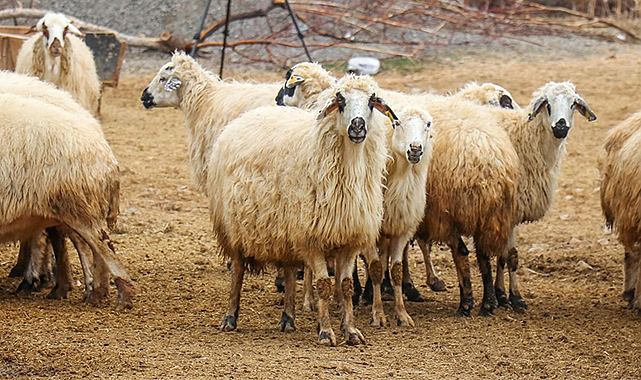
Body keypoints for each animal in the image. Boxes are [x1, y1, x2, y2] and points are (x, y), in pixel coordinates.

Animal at [0, 93, 132, 310]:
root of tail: (105, 153)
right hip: (62, 209)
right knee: (90, 245)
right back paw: (93, 292)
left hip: (75, 205)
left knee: (100, 244)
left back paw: (121, 295)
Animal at [208, 73, 392, 344]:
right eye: (340, 100)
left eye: (371, 100)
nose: (358, 126)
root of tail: (245, 117)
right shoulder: (312, 237)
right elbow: (324, 286)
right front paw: (326, 331)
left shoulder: (349, 237)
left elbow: (345, 286)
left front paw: (350, 331)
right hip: (235, 227)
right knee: (238, 270)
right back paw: (230, 317)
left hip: (284, 229)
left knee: (287, 269)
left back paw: (288, 318)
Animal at [488, 81, 596, 310]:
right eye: (548, 104)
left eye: (573, 104)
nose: (561, 126)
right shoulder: (508, 207)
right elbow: (510, 254)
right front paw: (515, 297)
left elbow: (504, 256)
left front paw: (502, 295)